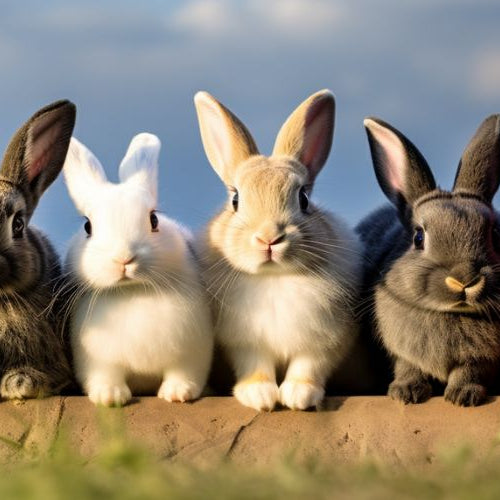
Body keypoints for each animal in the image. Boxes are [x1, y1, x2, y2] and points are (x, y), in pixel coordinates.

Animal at [62, 133, 213, 406]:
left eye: (154, 220)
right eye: (88, 227)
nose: (124, 258)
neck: (132, 291)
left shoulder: (189, 353)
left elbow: (183, 373)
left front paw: (178, 394)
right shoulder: (99, 362)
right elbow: (106, 377)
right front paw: (109, 397)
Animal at [193, 90, 362, 410]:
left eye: (304, 198)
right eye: (235, 200)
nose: (269, 238)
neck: (273, 278)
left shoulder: (325, 341)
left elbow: (308, 366)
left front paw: (298, 396)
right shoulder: (245, 344)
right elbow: (255, 366)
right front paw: (260, 396)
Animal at [358, 113, 500, 406]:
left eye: (494, 234)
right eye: (419, 237)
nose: (464, 280)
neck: (451, 313)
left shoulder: (480, 360)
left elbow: (469, 371)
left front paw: (463, 397)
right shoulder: (401, 351)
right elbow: (408, 367)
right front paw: (406, 393)